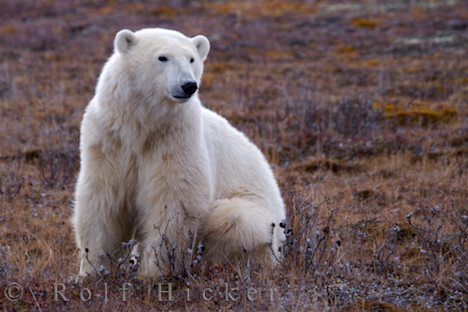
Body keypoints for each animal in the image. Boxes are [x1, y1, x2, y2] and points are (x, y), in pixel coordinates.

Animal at [72, 26, 288, 276]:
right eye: (162, 57)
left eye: (191, 58)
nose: (189, 85)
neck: (142, 124)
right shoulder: (109, 140)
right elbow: (102, 200)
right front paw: (91, 272)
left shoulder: (177, 139)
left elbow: (173, 202)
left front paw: (153, 272)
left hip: (260, 218)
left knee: (233, 218)